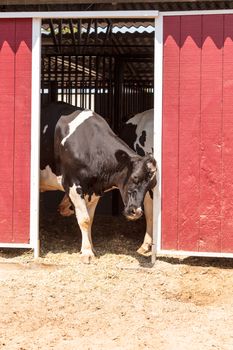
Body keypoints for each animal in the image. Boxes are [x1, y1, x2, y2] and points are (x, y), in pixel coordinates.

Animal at [40, 102, 157, 262]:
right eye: (135, 177)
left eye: (151, 184)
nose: (136, 211)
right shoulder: (72, 184)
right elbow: (84, 219)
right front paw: (87, 252)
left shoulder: (94, 189)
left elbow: (90, 220)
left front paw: (91, 248)